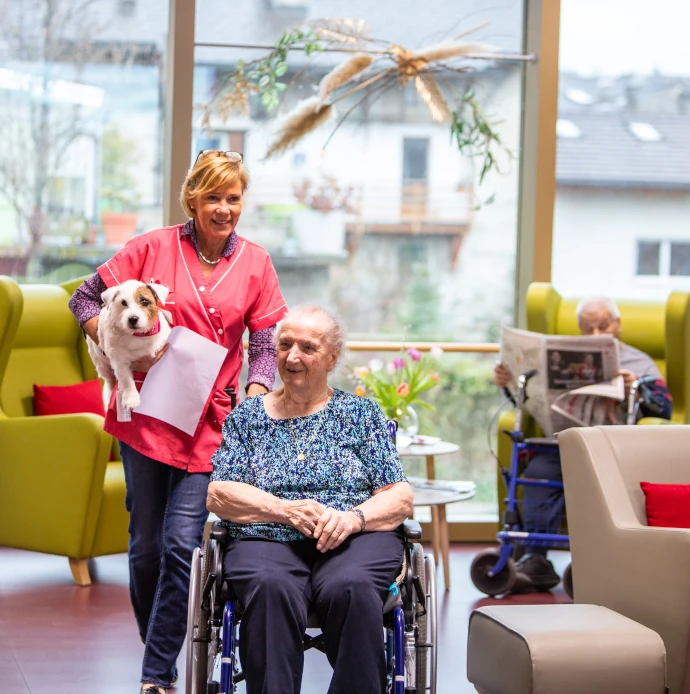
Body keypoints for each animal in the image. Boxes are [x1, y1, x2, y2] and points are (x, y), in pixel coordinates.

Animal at [87, 280, 172, 414]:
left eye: (145, 302)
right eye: (123, 303)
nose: (132, 319)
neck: (139, 335)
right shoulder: (119, 361)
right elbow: (127, 380)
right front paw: (131, 398)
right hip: (102, 364)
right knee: (110, 381)